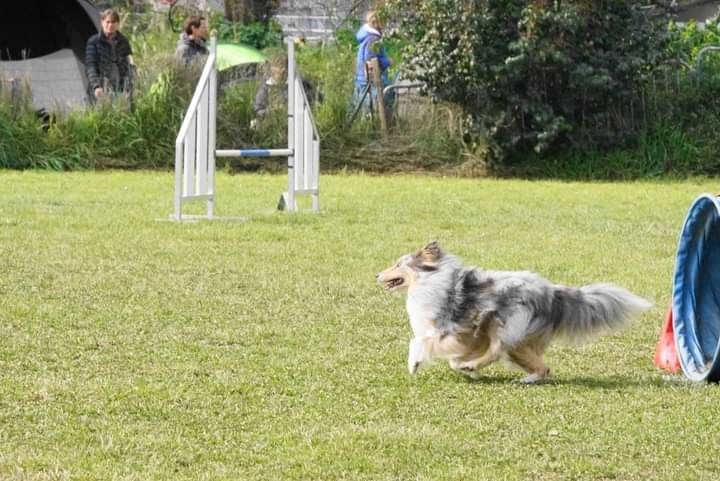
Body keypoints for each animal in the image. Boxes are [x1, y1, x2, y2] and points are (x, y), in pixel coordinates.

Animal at [376, 242, 652, 384]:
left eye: (398, 264)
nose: (377, 275)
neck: (430, 279)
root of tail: (552, 291)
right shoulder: (470, 334)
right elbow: (452, 354)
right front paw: (466, 368)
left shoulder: (449, 329)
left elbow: (418, 342)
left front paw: (414, 365)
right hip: (516, 338)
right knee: (542, 367)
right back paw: (524, 378)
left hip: (507, 325)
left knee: (498, 351)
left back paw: (475, 366)